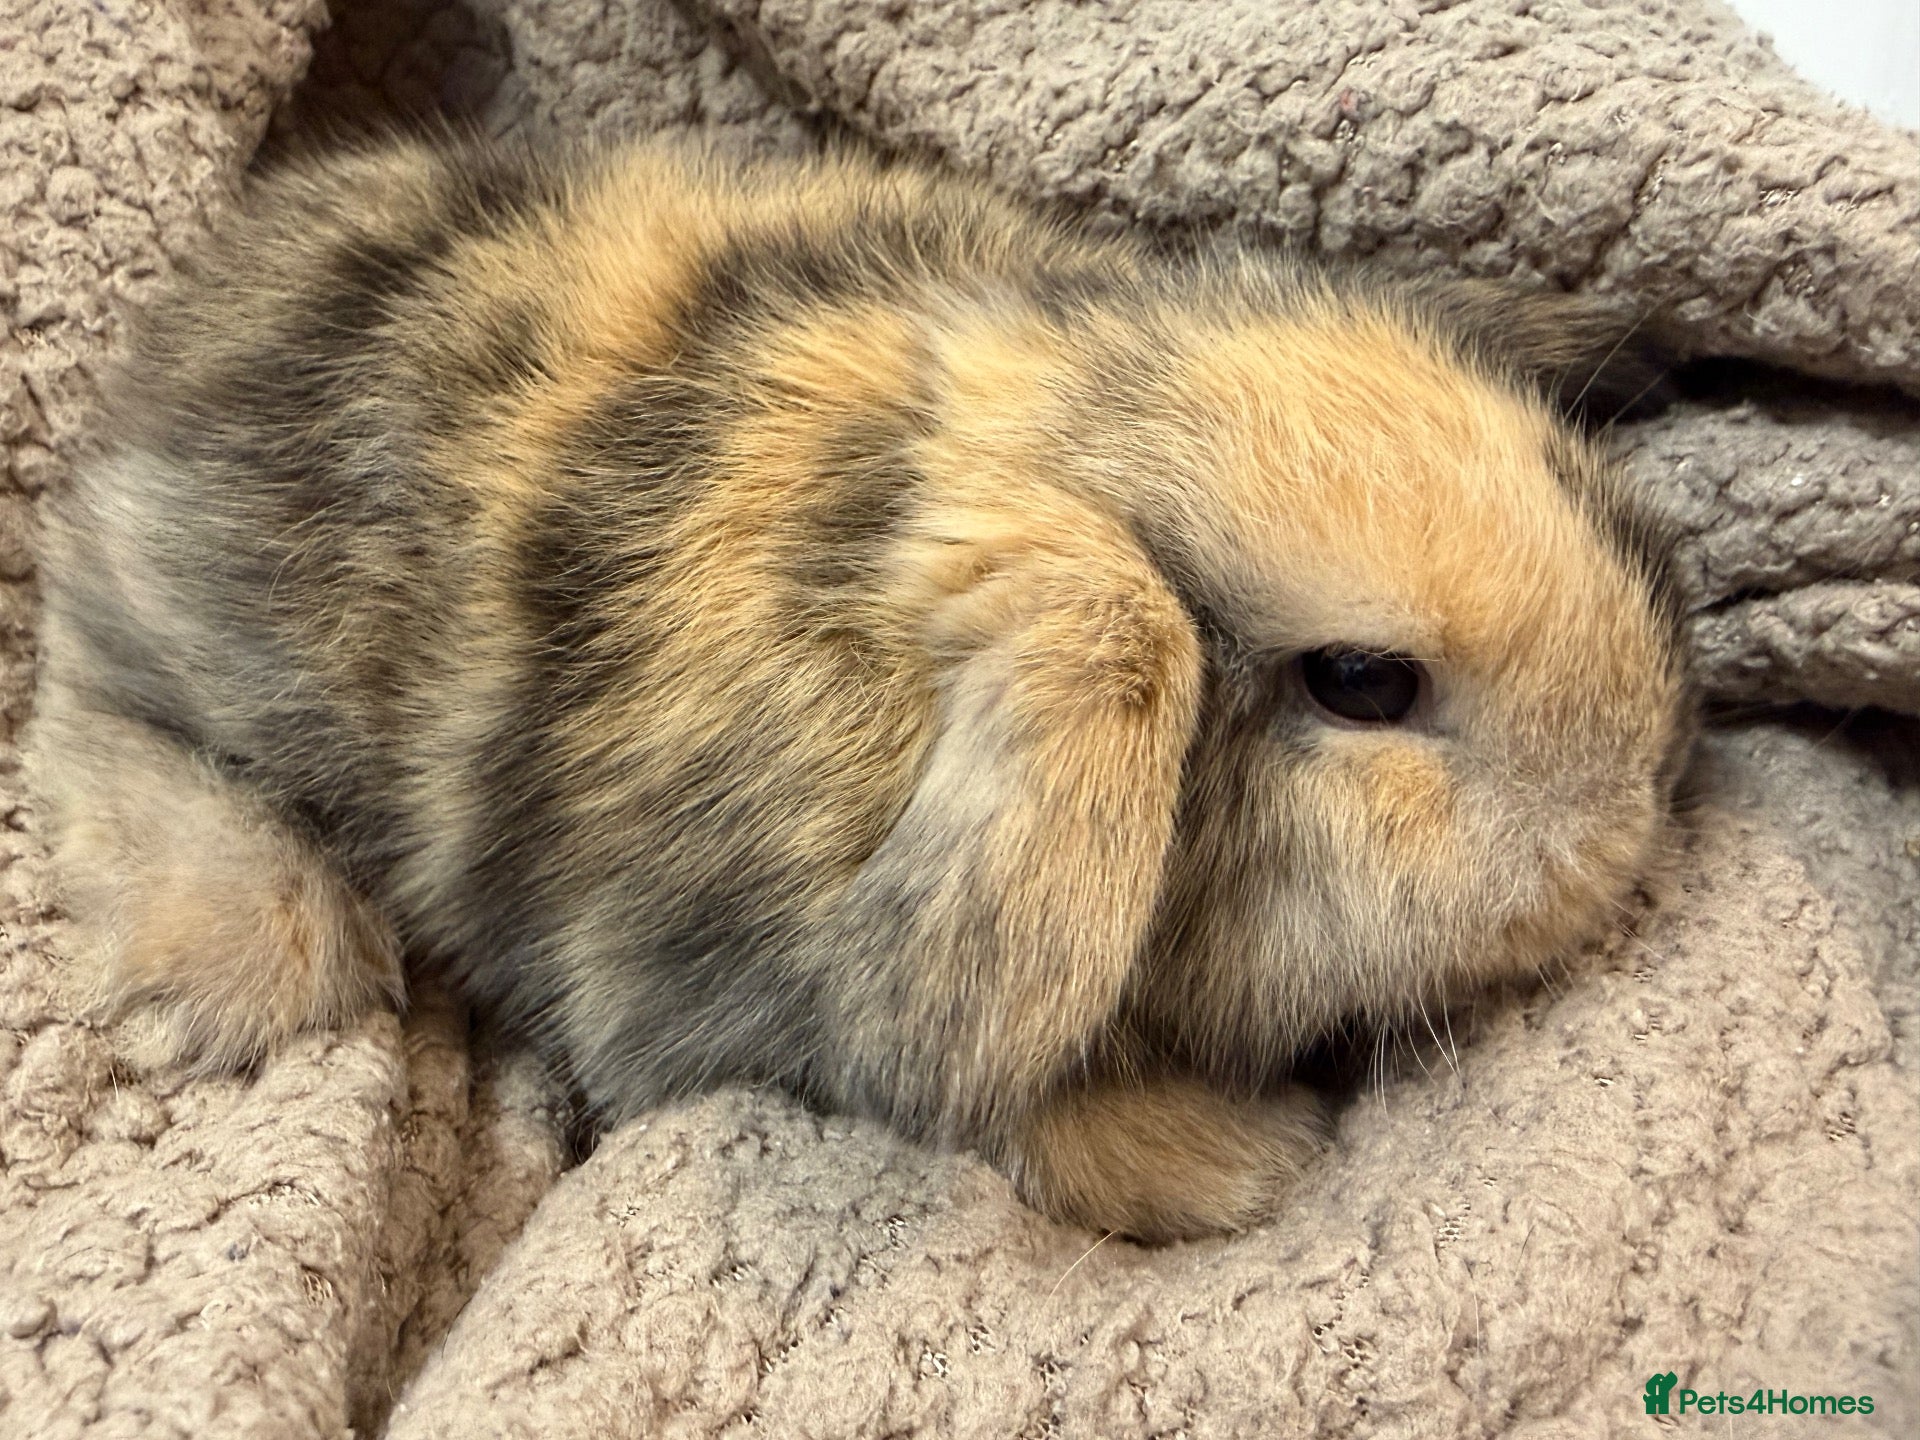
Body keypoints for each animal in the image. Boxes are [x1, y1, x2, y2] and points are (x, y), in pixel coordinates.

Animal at [27, 135, 1693, 1242]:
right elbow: (980, 1083)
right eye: (1362, 681)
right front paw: (1249, 1162)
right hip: (187, 659)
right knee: (82, 706)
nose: (1628, 829)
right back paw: (243, 958)